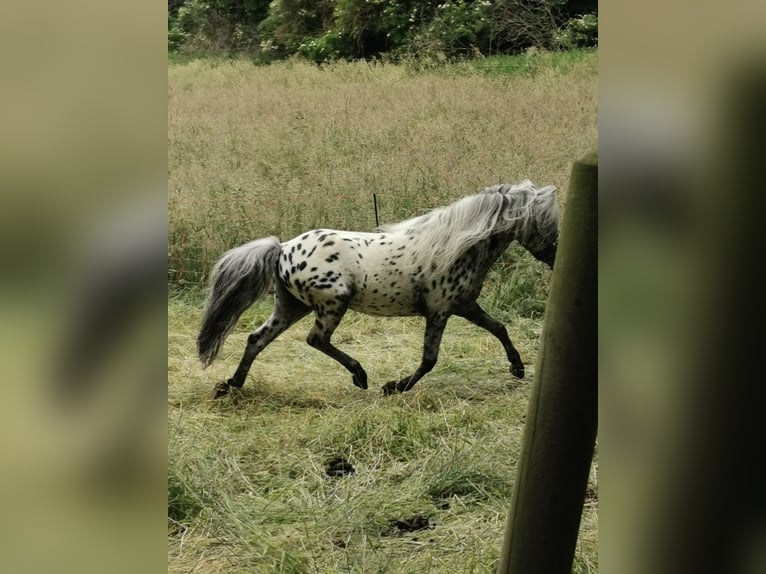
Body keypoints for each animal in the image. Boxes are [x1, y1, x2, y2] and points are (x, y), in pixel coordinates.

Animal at [198, 179, 560, 396]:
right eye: (547, 222)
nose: (557, 258)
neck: (454, 246)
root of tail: (283, 247)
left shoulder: (464, 306)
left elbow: (498, 328)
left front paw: (517, 368)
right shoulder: (440, 312)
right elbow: (430, 358)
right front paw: (395, 387)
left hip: (291, 306)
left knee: (256, 339)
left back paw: (230, 386)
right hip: (331, 304)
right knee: (316, 340)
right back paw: (361, 377)